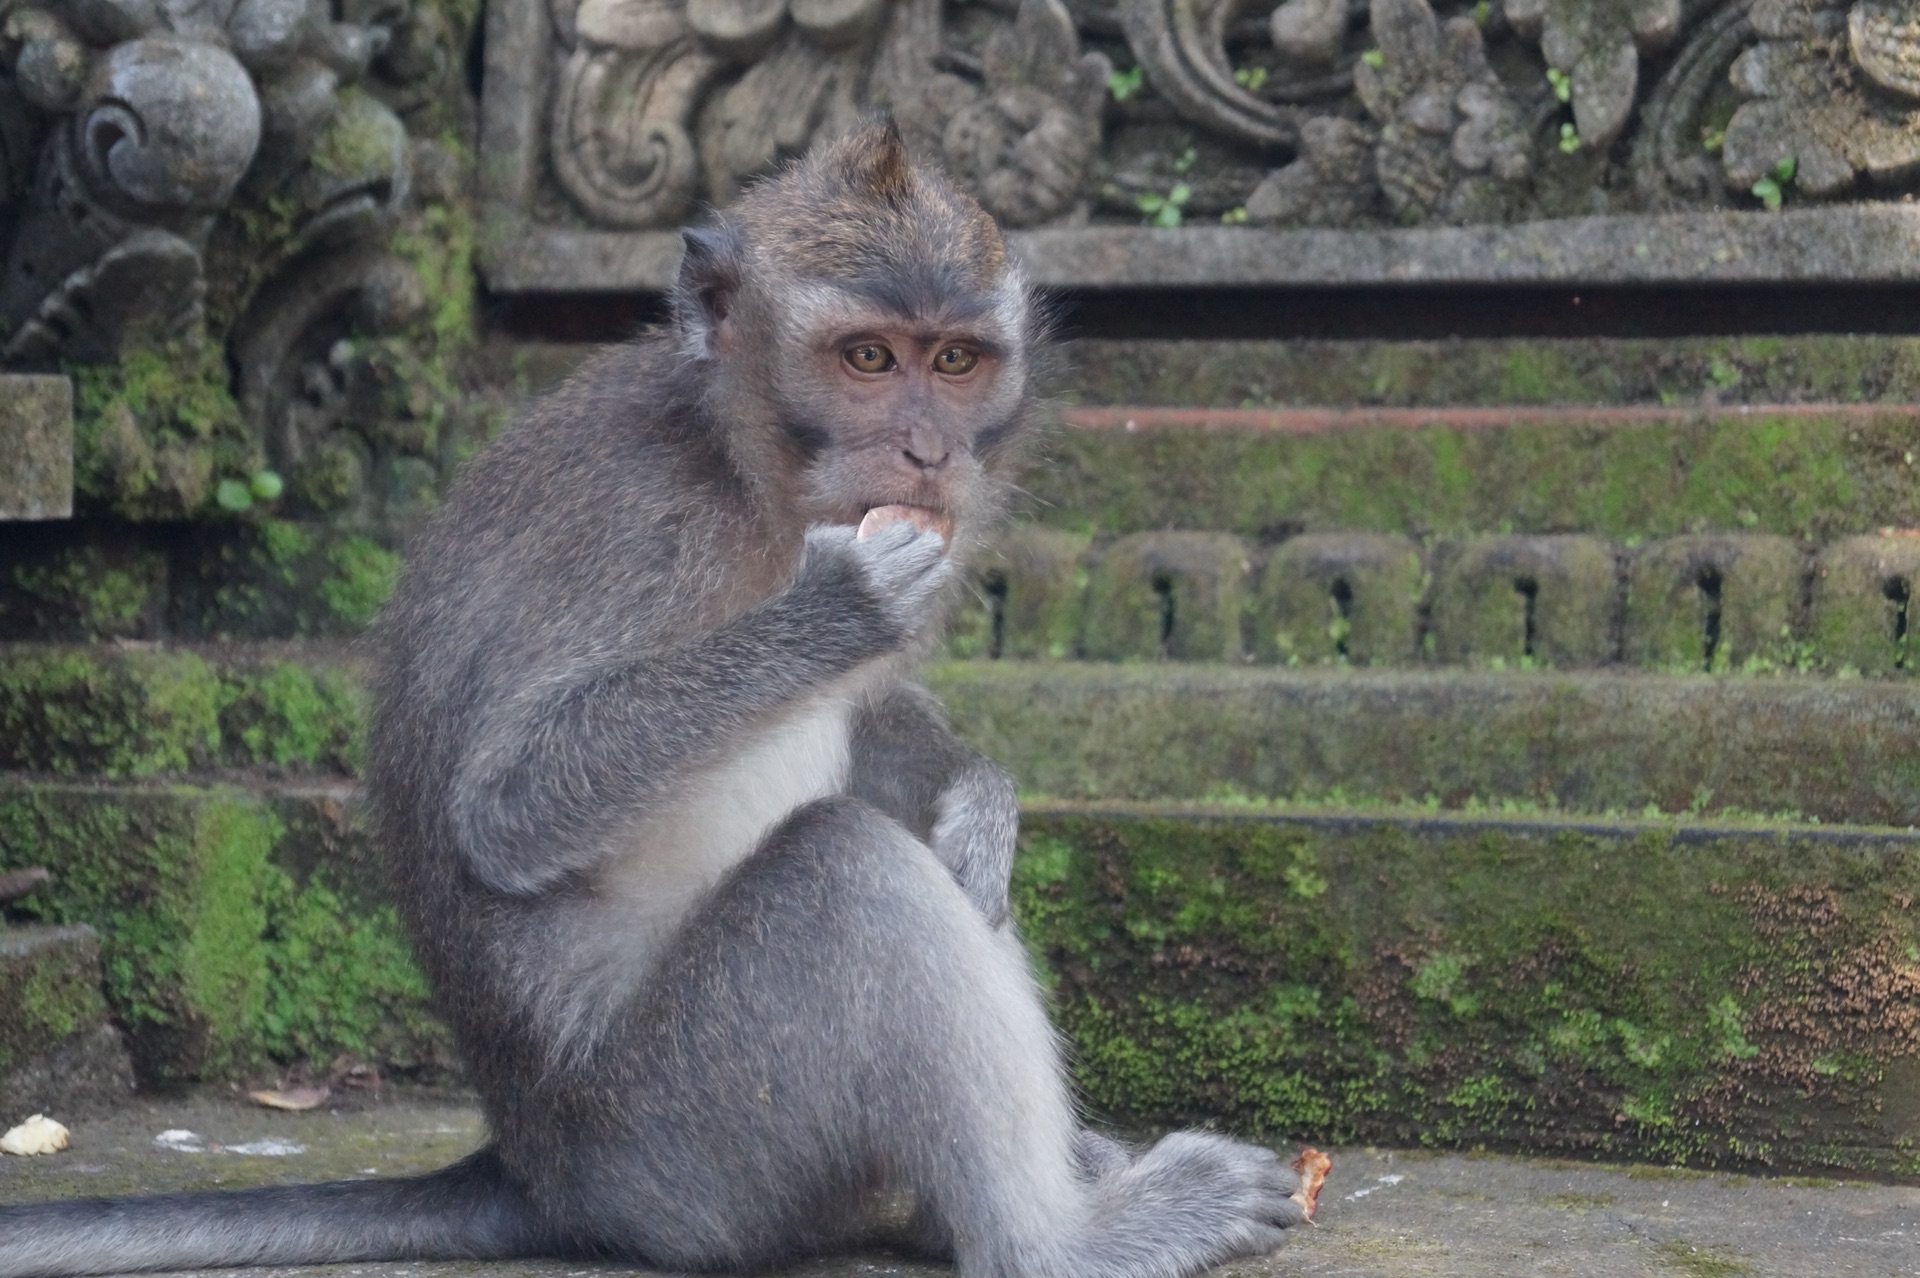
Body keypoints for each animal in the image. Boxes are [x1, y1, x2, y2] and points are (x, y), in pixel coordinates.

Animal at [0, 117, 1305, 1274]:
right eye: (867, 359)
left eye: (955, 361)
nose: (931, 454)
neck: (745, 474)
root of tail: (540, 1171)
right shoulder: (646, 533)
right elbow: (509, 808)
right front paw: (839, 613)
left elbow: (889, 734)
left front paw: (982, 798)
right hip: (689, 1144)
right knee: (846, 873)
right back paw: (1060, 1241)